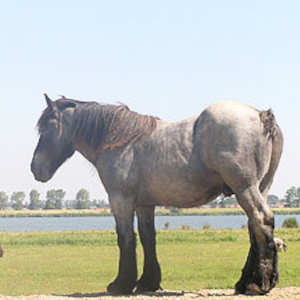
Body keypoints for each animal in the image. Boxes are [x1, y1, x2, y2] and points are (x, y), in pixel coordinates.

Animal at [31, 94, 284, 296]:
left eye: (47, 128)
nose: (35, 168)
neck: (121, 140)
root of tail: (261, 116)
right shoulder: (145, 204)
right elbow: (147, 238)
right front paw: (147, 282)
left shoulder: (120, 199)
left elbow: (125, 238)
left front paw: (121, 284)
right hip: (260, 187)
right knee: (255, 227)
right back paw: (247, 283)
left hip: (245, 188)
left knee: (261, 220)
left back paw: (257, 284)